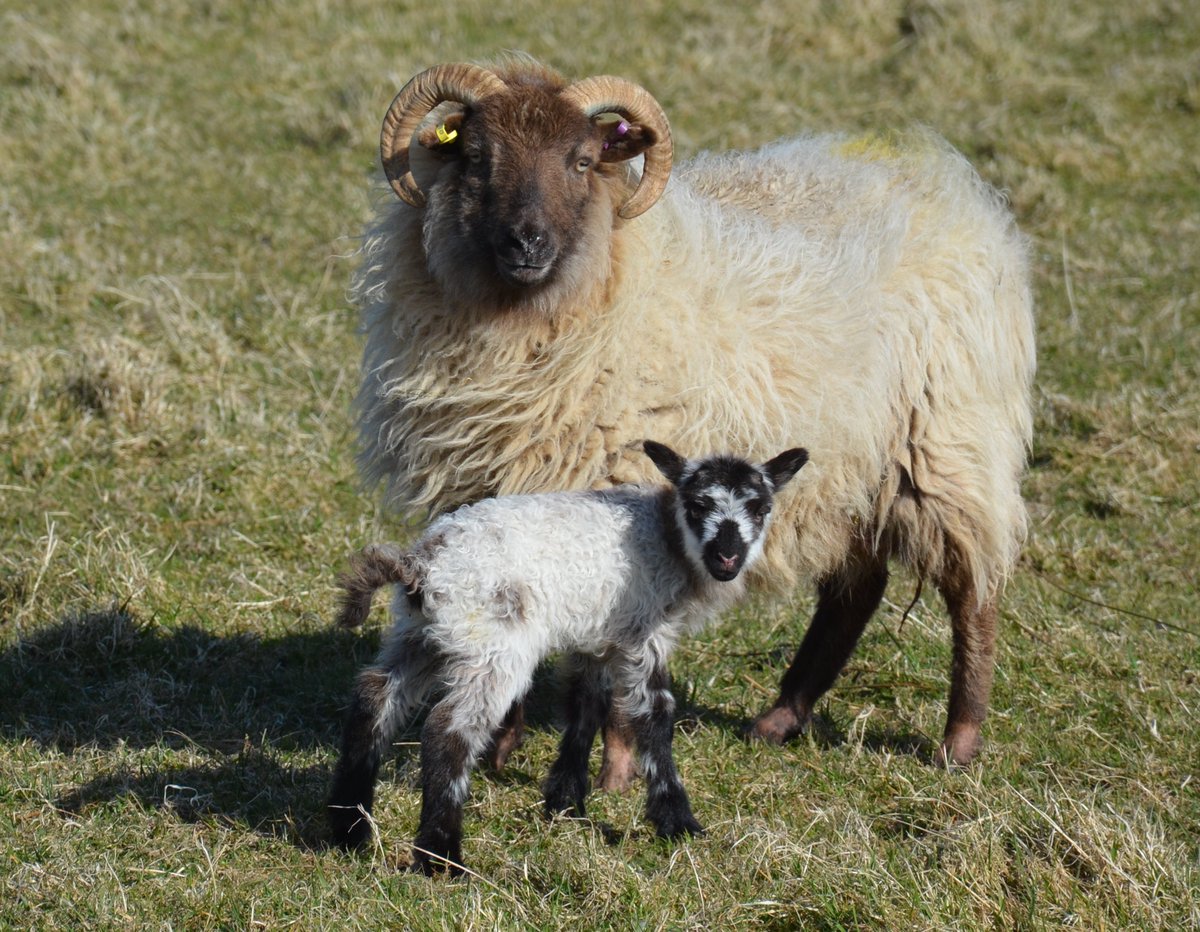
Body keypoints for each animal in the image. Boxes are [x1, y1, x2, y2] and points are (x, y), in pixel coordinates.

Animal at [327, 440, 809, 873]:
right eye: (696, 505)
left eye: (760, 508)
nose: (727, 557)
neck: (667, 536)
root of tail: (422, 564)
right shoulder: (644, 635)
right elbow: (655, 717)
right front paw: (677, 822)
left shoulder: (595, 637)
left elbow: (584, 708)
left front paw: (565, 804)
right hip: (495, 645)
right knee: (449, 730)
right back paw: (441, 858)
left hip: (421, 634)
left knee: (374, 696)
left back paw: (349, 830)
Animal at [351, 56, 1036, 776]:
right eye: (477, 157)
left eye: (582, 160)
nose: (527, 242)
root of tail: (949, 180)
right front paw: (498, 748)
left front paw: (618, 768)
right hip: (851, 466)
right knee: (858, 588)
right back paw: (780, 719)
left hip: (947, 445)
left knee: (973, 593)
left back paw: (960, 742)